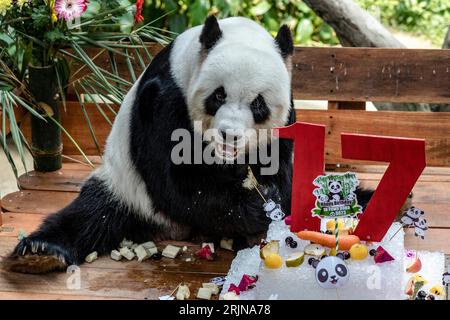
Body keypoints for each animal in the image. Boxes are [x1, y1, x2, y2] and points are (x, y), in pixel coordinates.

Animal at [5, 16, 298, 274]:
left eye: (258, 103)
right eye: (218, 95)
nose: (229, 135)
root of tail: (175, 230)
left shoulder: (287, 119)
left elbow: (283, 169)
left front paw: (268, 198)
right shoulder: (165, 98)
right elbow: (175, 182)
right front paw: (256, 204)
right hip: (124, 189)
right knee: (89, 215)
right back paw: (40, 252)